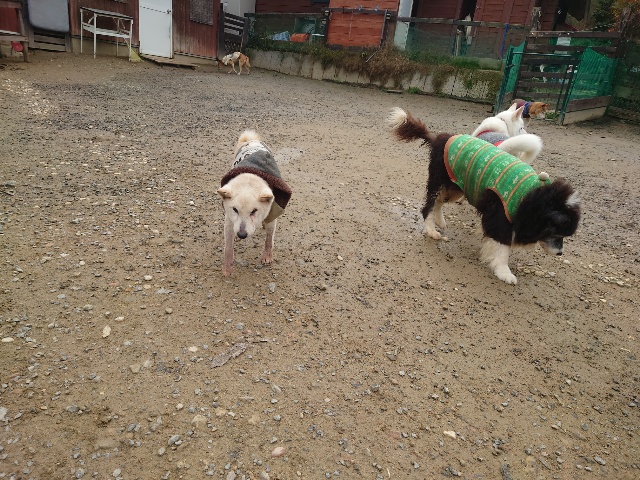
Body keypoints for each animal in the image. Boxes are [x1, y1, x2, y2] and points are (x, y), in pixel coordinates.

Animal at [217, 130, 292, 276]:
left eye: (254, 211)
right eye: (235, 210)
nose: (241, 235)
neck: (250, 178)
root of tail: (251, 140)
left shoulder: (272, 215)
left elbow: (269, 240)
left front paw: (267, 257)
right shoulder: (229, 220)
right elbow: (228, 247)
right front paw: (227, 268)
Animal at [387, 107, 581, 284]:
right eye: (556, 232)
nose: (560, 253)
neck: (531, 196)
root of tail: (438, 139)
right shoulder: (501, 217)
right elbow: (503, 247)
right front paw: (504, 272)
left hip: (457, 187)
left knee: (440, 202)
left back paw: (440, 221)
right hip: (439, 182)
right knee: (428, 206)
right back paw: (431, 230)